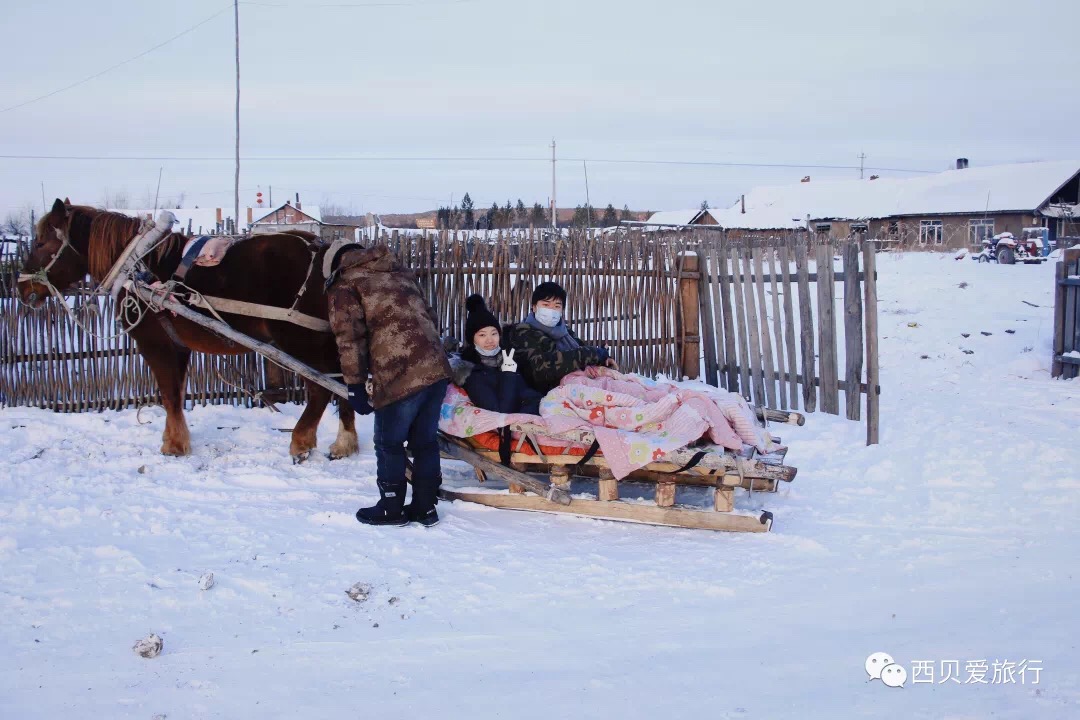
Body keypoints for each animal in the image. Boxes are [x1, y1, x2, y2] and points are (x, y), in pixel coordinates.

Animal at [16, 199, 356, 464]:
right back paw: (345, 442)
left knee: (322, 389)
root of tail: (326, 254)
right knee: (346, 382)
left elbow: (168, 393)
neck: (138, 266)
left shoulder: (154, 344)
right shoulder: (177, 346)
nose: (22, 289)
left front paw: (174, 446)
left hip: (300, 341)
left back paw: (301, 442)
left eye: (41, 243)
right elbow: (177, 393)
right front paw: (175, 439)